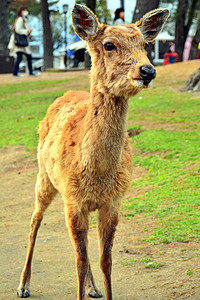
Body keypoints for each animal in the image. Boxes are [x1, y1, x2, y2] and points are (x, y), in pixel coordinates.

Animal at [17, 4, 170, 298]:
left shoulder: (113, 201)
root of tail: (65, 94)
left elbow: (104, 260)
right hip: (44, 175)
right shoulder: (73, 200)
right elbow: (79, 260)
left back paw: (94, 288)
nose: (148, 71)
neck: (97, 176)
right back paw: (23, 285)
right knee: (34, 221)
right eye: (109, 45)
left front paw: (101, 288)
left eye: (145, 44)